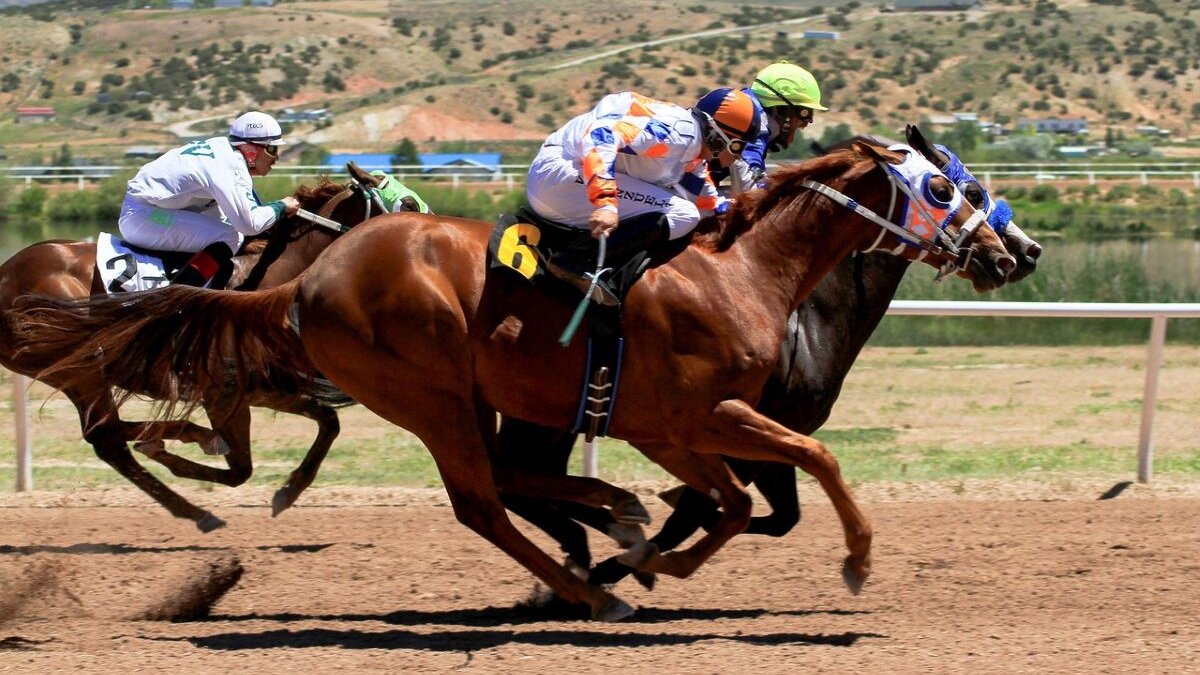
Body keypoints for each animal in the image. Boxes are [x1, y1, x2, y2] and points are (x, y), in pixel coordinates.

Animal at [0, 173, 378, 531]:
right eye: (391, 203)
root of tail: (6, 272)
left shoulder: (264, 389)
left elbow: (328, 423)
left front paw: (290, 489)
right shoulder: (222, 395)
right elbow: (240, 468)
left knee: (109, 439)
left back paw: (190, 496)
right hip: (82, 369)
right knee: (106, 435)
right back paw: (185, 444)